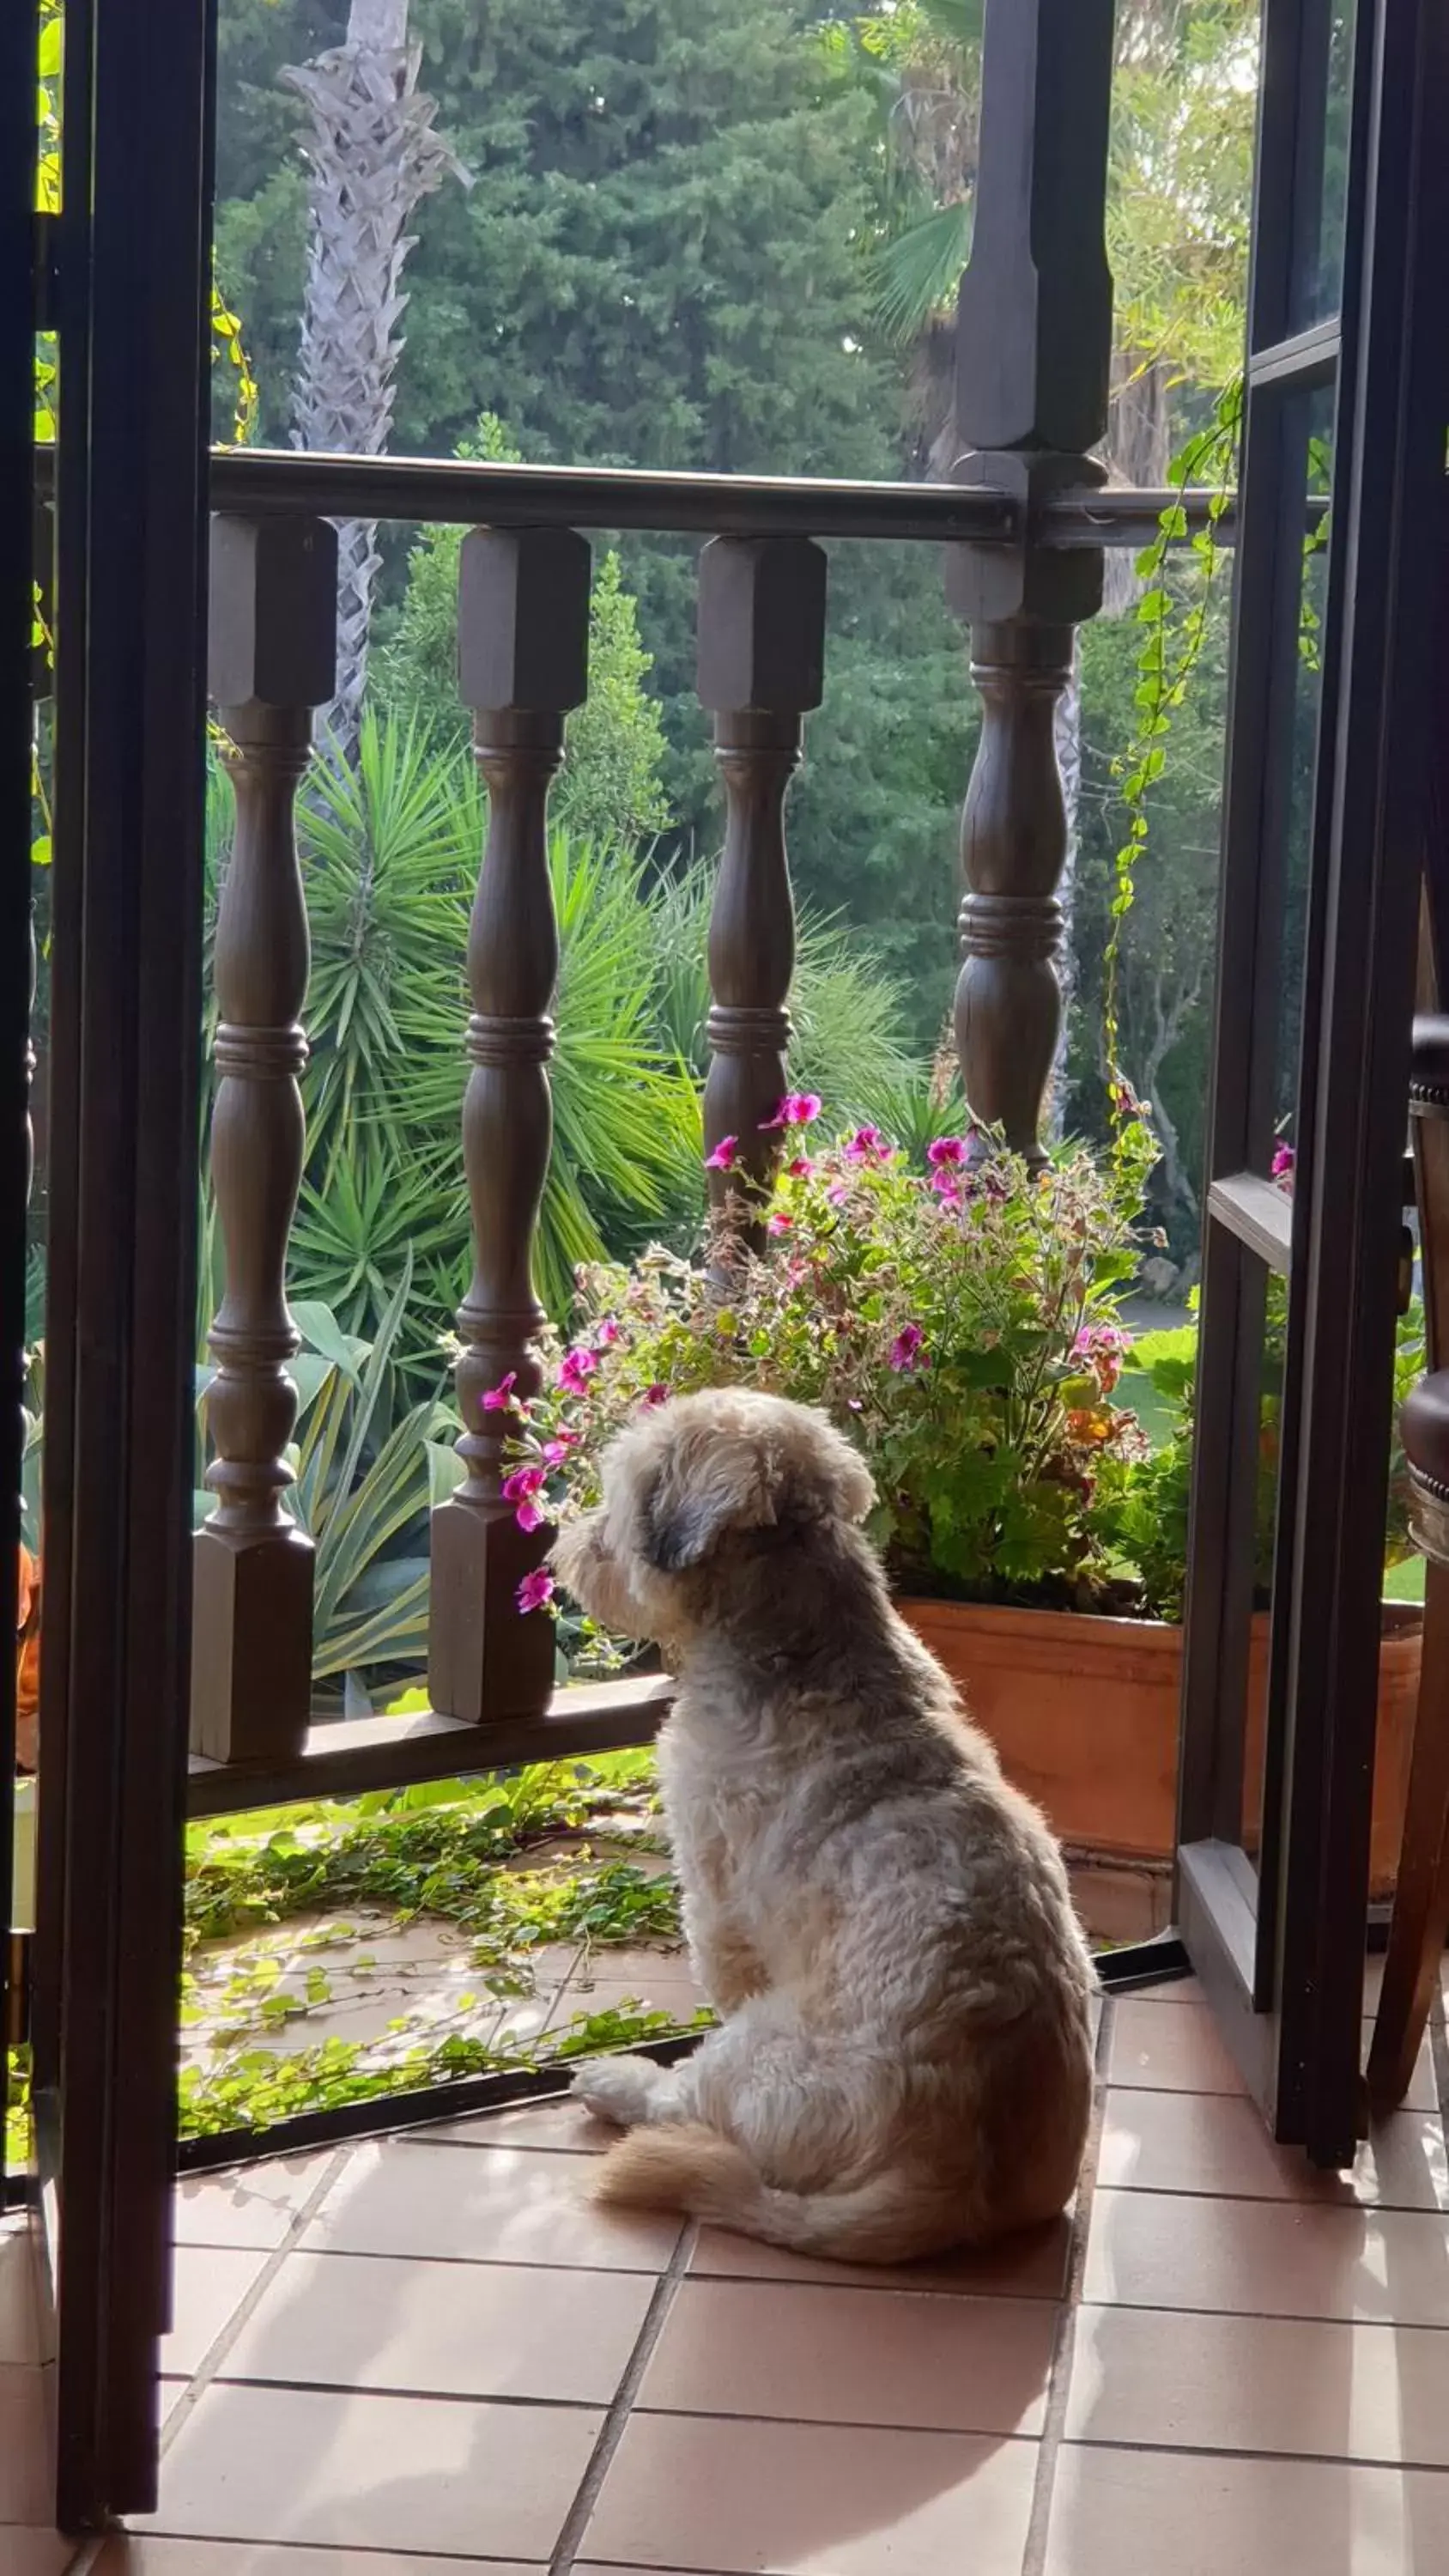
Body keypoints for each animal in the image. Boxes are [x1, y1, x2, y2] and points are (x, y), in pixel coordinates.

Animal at [550, 1391, 1096, 2257]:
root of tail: (949, 2186)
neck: (799, 1646)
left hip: (755, 2049)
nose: (570, 1545)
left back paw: (619, 2084)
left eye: (622, 1497)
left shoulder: (713, 1894)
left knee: (690, 2098)